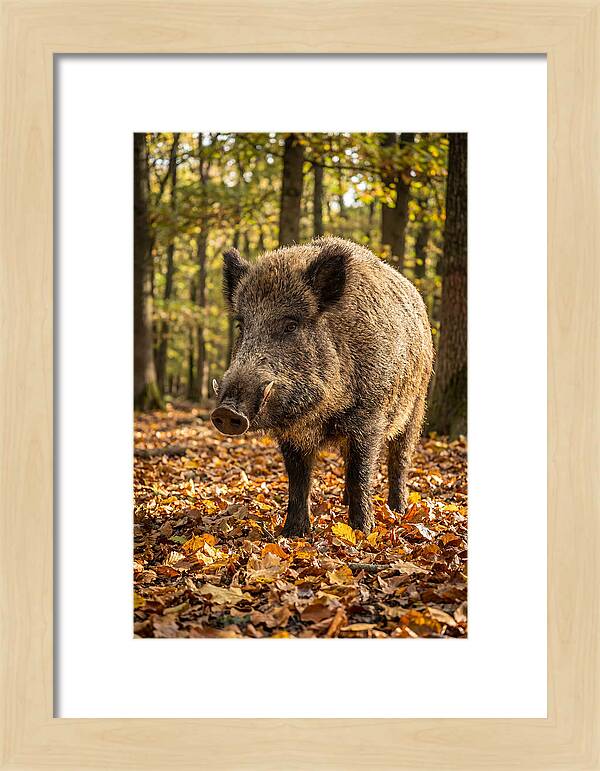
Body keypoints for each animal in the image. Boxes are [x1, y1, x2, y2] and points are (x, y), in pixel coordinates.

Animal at [211, 236, 433, 537]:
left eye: (291, 325)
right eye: (241, 325)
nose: (226, 411)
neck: (320, 413)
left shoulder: (370, 418)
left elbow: (361, 473)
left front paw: (362, 531)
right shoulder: (292, 434)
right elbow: (298, 479)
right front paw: (293, 533)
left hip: (417, 404)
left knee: (400, 458)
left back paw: (397, 510)